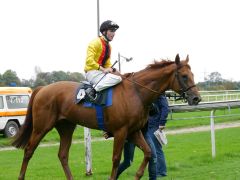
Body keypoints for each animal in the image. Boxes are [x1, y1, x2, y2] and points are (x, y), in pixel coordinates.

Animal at [12, 54, 201, 179]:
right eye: (184, 76)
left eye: (193, 75)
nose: (196, 98)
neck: (136, 92)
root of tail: (42, 89)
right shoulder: (120, 132)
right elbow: (116, 159)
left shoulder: (134, 132)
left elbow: (148, 153)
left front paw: (138, 175)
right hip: (42, 127)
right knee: (29, 151)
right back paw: (21, 176)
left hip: (66, 127)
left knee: (63, 155)